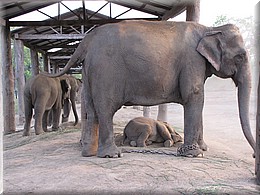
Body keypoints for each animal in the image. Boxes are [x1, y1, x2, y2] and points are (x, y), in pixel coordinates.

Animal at [43, 19, 256, 157]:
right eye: (240, 57)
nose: (254, 155)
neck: (210, 28)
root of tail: (86, 41)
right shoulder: (192, 61)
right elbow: (194, 95)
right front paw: (194, 154)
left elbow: (198, 98)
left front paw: (203, 149)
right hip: (106, 70)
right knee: (105, 108)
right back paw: (112, 155)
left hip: (89, 71)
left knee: (90, 110)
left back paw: (89, 153)